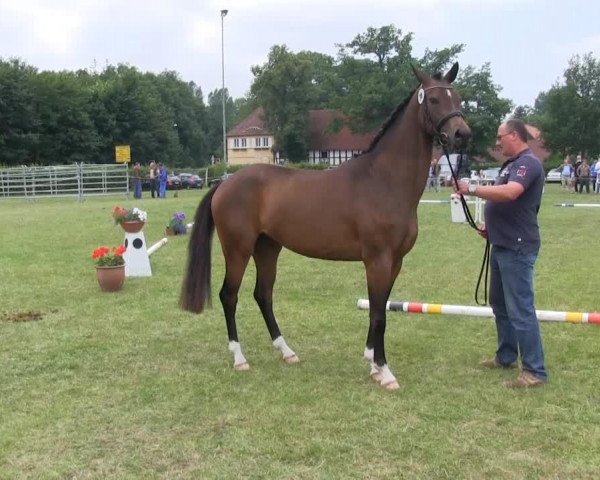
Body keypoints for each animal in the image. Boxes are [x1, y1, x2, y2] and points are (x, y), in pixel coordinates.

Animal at [180, 62, 472, 390]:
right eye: (433, 100)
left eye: (458, 98)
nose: (462, 134)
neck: (383, 180)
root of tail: (224, 183)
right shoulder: (378, 260)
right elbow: (379, 315)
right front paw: (384, 372)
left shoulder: (395, 261)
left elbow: (379, 307)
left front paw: (372, 362)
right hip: (238, 250)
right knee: (229, 296)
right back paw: (239, 358)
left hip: (267, 248)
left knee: (263, 295)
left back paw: (287, 352)